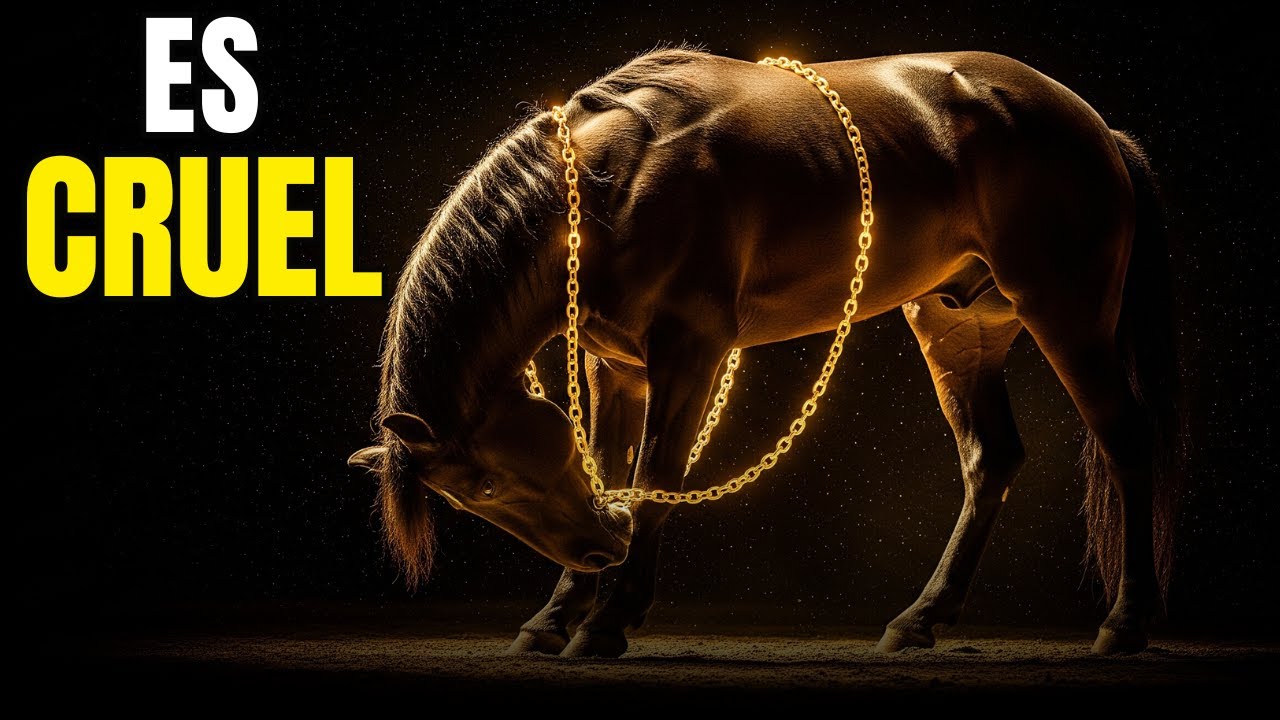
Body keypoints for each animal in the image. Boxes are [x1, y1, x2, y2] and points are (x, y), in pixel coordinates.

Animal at [348, 48, 1182, 658]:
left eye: (485, 485)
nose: (597, 550)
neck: (616, 182)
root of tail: (1094, 126)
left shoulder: (690, 352)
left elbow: (654, 477)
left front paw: (605, 621)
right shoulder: (612, 367)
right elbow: (608, 464)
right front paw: (555, 618)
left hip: (1064, 312)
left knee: (1124, 437)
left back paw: (1125, 623)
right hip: (961, 327)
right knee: (991, 457)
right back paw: (919, 618)